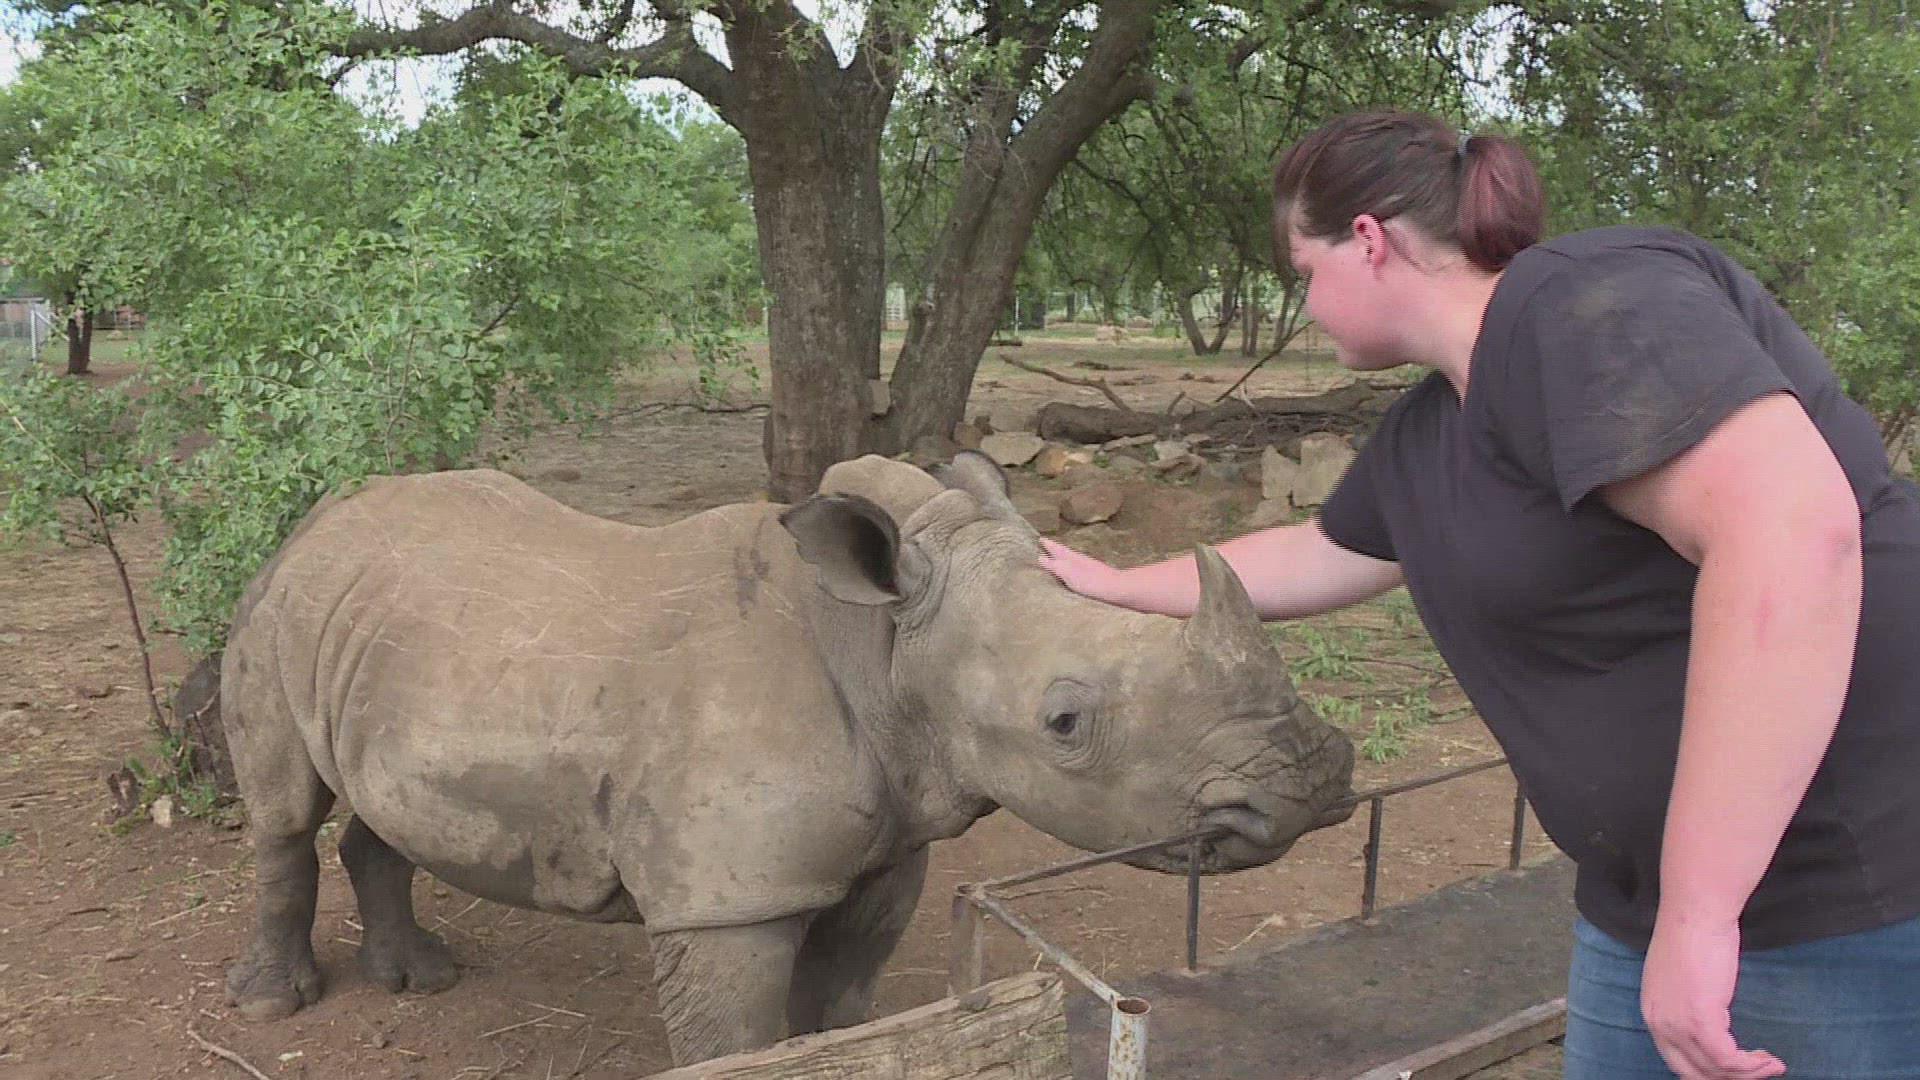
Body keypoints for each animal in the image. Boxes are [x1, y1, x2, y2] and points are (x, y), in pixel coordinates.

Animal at [218, 451, 1356, 1066]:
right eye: (1065, 724)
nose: (1309, 787)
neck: (883, 643)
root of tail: (318, 515)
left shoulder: (891, 840)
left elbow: (840, 1003)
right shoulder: (726, 898)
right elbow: (738, 1034)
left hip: (398, 632)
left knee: (380, 799)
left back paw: (422, 981)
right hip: (278, 604)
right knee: (283, 809)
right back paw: (276, 1004)